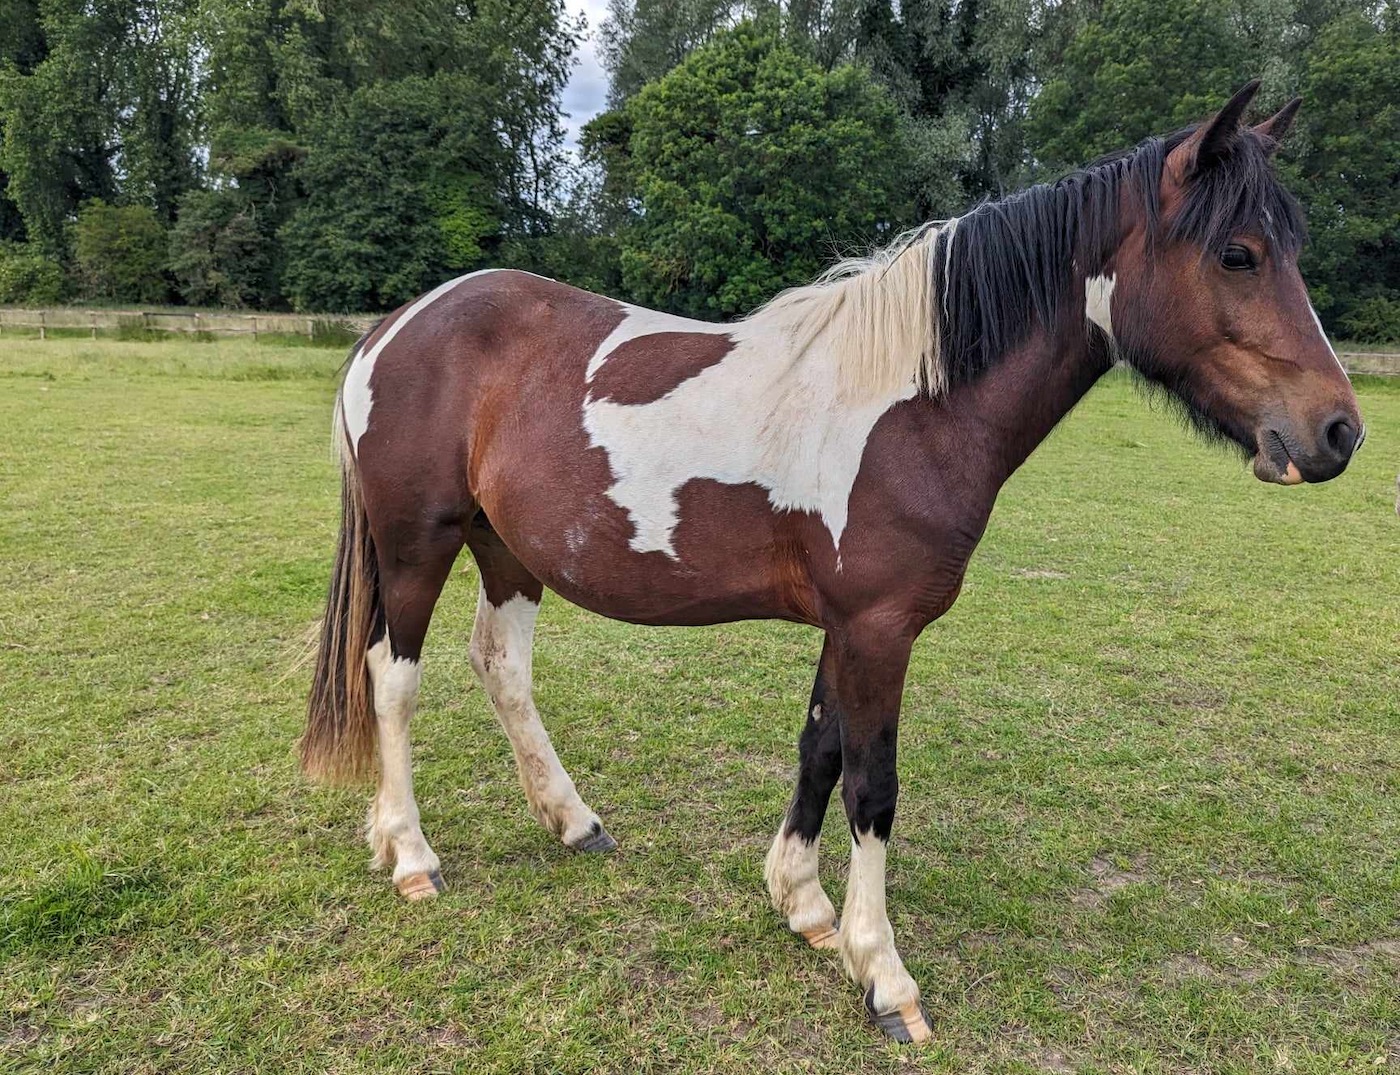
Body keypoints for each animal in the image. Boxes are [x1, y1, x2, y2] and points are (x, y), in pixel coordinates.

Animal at [300, 81, 1363, 1043]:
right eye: (1238, 253)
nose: (1338, 432)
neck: (913, 407)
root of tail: (398, 324)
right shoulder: (880, 629)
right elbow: (873, 784)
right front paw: (884, 974)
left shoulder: (847, 626)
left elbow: (818, 746)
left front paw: (804, 906)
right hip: (417, 545)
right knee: (392, 678)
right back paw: (410, 853)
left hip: (508, 550)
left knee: (502, 667)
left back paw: (570, 820)